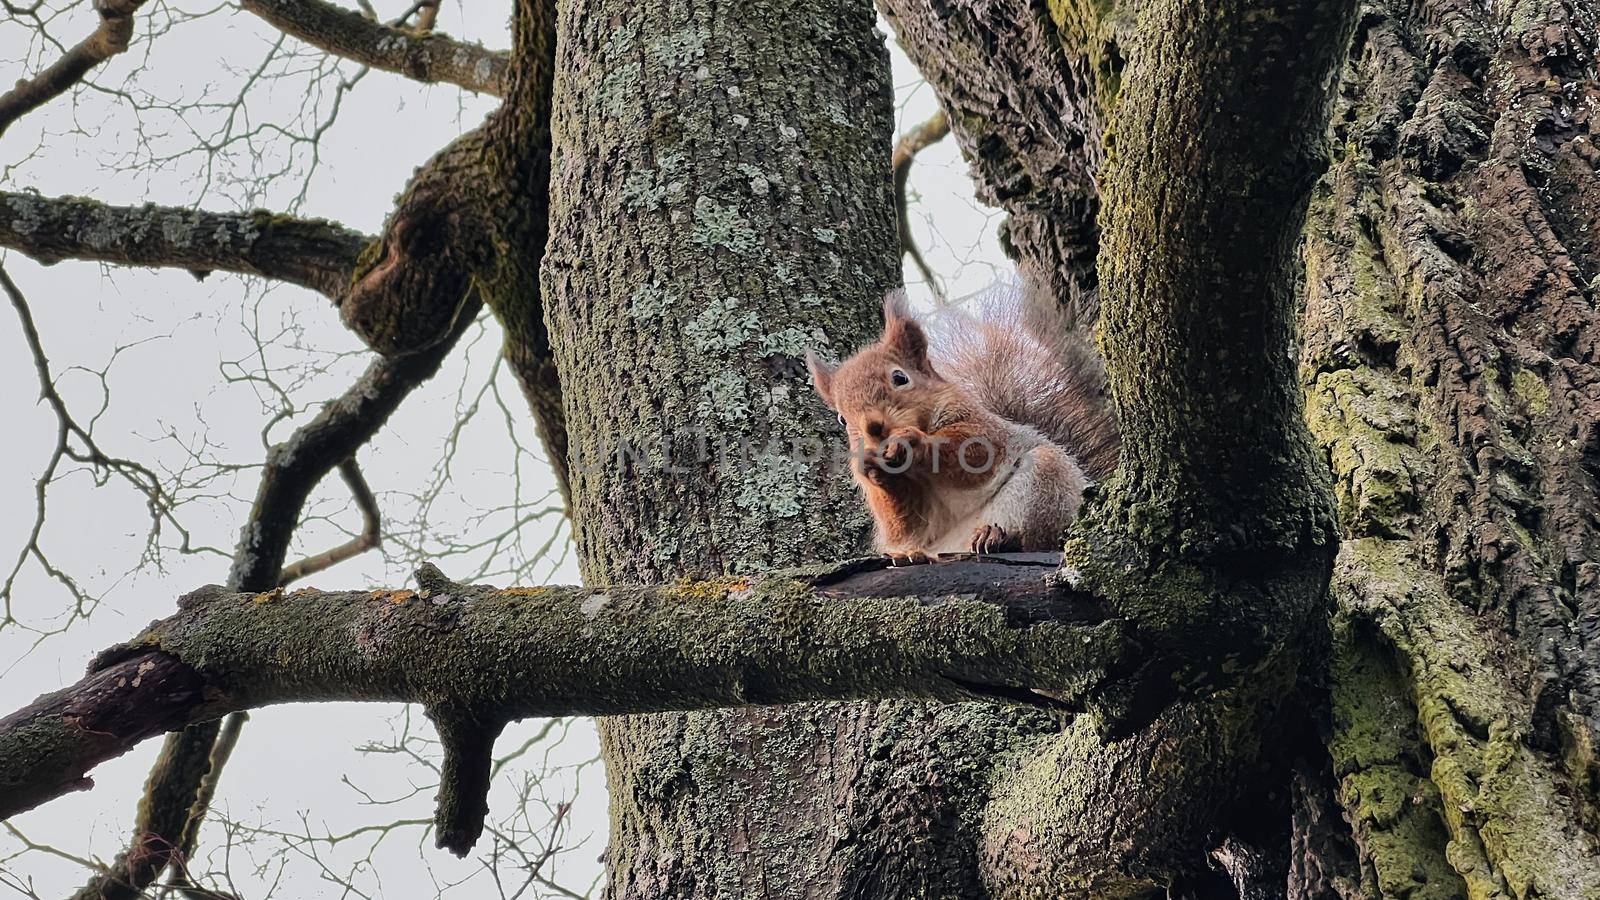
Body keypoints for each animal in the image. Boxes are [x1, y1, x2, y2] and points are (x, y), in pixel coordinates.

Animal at [806, 283, 1120, 557]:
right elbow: (905, 522)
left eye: (900, 378)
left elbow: (972, 453)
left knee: (1039, 538)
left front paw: (914, 442)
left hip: (1049, 482)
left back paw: (998, 537)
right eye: (842, 418)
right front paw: (871, 468)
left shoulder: (983, 427)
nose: (873, 427)